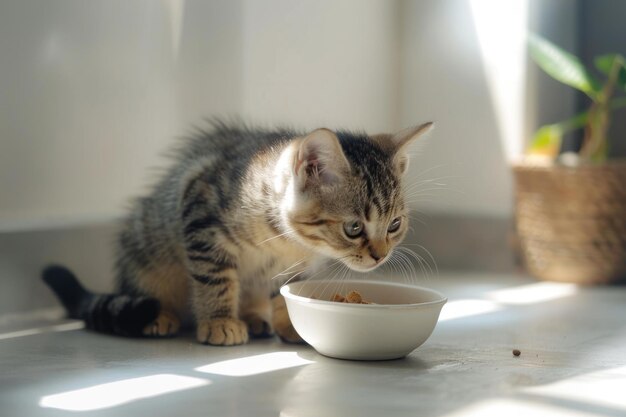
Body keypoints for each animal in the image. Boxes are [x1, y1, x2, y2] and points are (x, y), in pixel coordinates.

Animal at [44, 119, 432, 344]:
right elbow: (215, 278)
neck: (287, 242)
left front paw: (288, 323)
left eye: (394, 225)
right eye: (353, 228)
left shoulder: (293, 266)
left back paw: (255, 317)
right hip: (146, 246)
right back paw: (163, 315)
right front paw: (219, 320)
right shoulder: (200, 213)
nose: (380, 255)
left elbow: (285, 290)